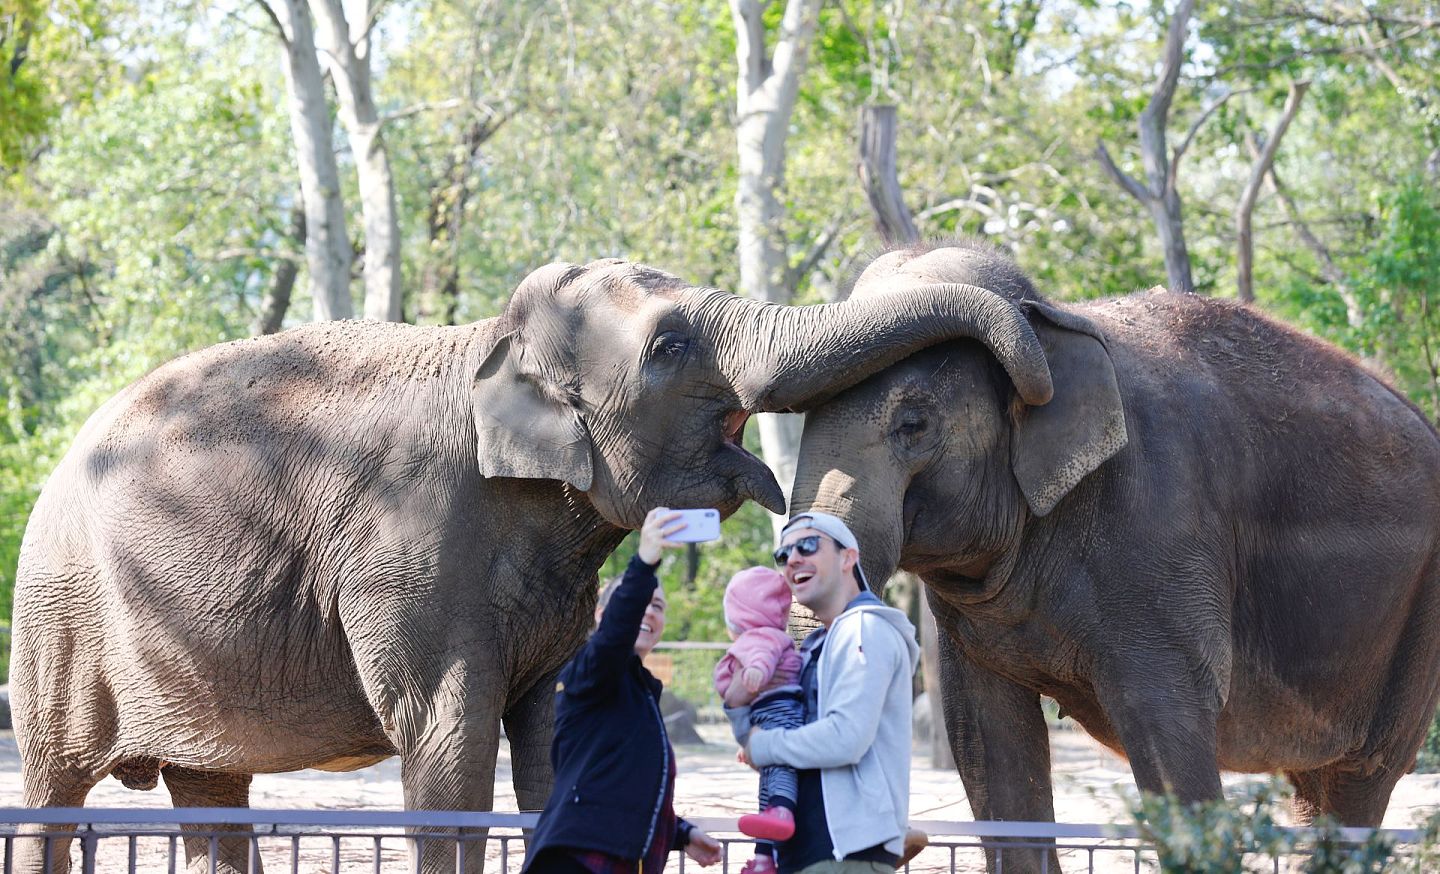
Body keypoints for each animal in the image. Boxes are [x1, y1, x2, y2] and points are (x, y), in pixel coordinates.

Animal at [5, 256, 1054, 869]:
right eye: (671, 346)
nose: (1036, 376)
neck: (487, 350)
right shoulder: (408, 543)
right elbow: (446, 741)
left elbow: (557, 734)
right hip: (58, 620)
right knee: (55, 789)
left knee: (211, 798)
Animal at [789, 239, 1440, 874]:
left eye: (913, 424)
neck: (1052, 322)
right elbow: (987, 736)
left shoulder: (1161, 538)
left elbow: (1165, 730)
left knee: (1362, 777)